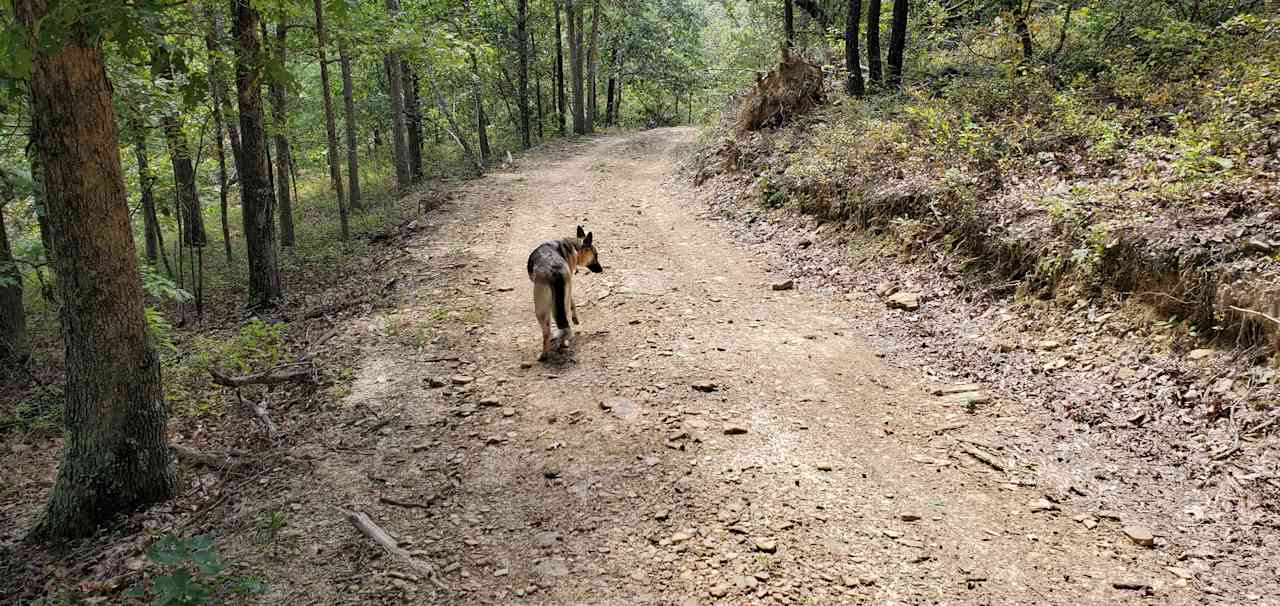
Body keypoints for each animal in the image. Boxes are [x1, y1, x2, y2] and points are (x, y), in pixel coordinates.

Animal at [527, 226, 601, 358]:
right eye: (596, 255)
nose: (601, 270)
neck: (574, 246)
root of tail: (554, 270)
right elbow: (573, 302)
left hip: (541, 311)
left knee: (546, 333)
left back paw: (544, 355)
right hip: (559, 305)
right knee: (563, 326)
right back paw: (563, 343)